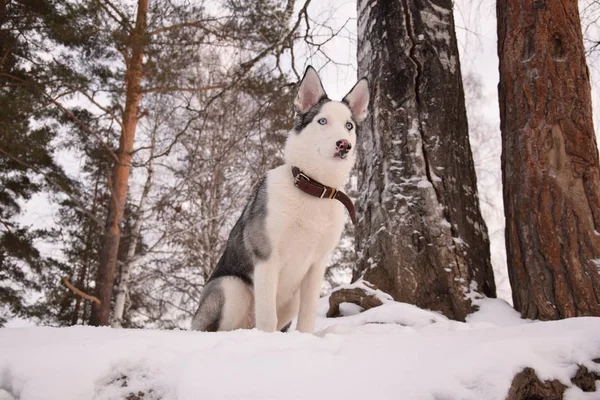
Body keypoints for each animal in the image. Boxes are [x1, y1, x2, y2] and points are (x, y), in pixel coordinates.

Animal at [192, 68, 370, 334]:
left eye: (349, 125)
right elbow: (267, 316)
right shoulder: (266, 258)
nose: (344, 145)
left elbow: (307, 316)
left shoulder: (316, 266)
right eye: (322, 121)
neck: (313, 189)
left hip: (290, 298)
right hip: (231, 287)